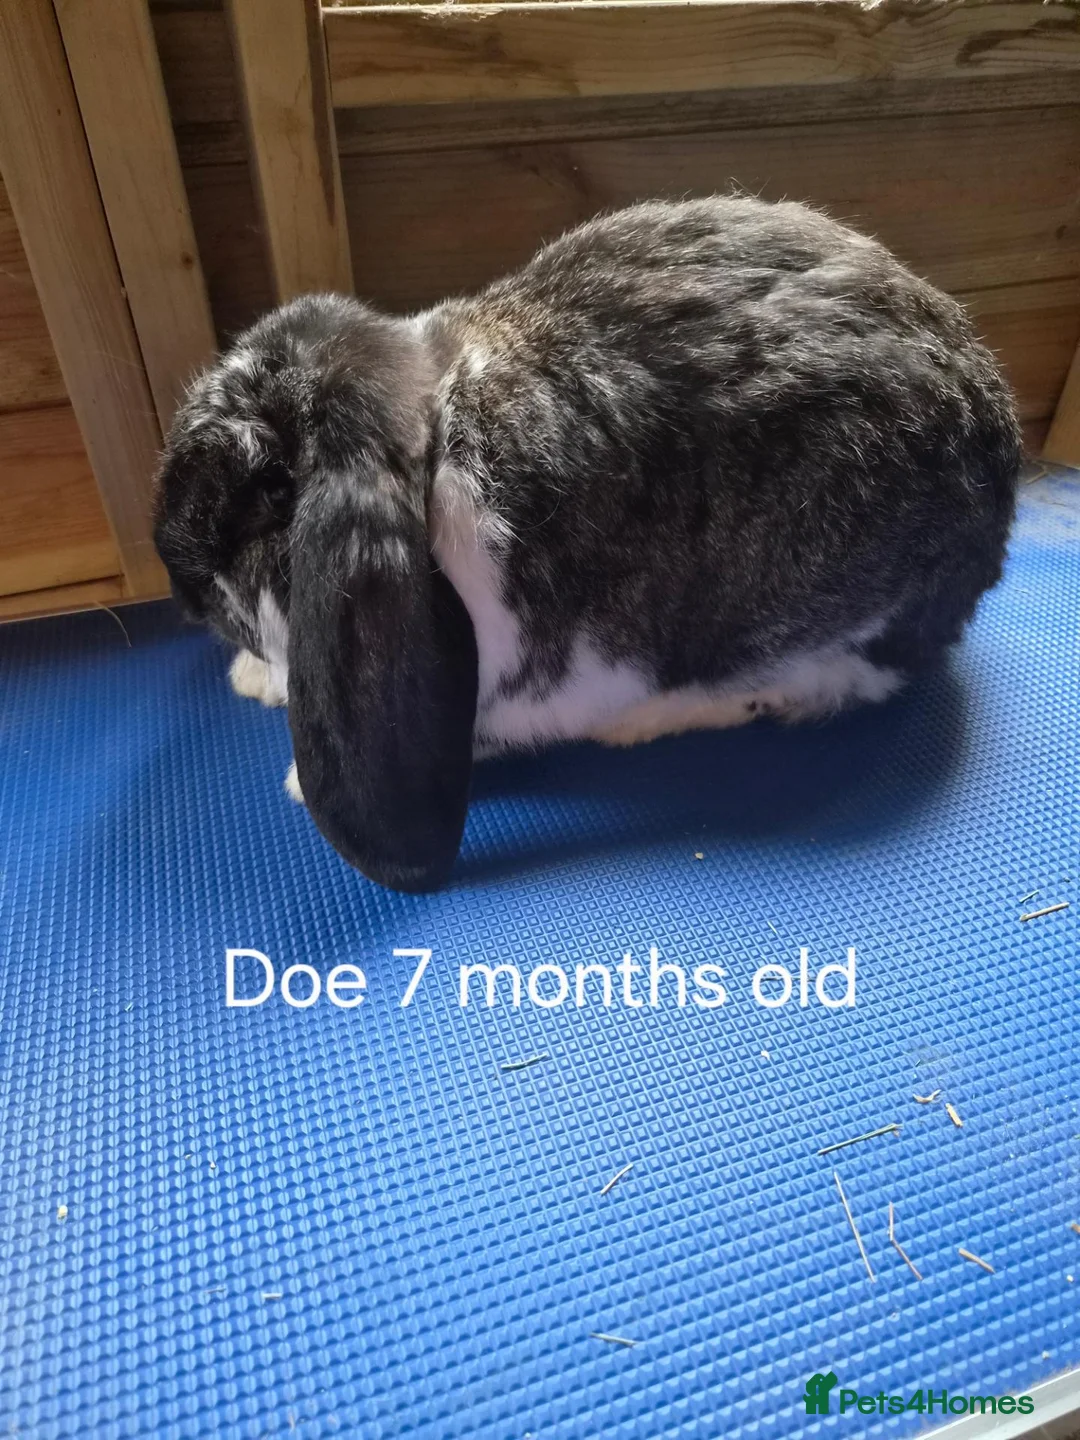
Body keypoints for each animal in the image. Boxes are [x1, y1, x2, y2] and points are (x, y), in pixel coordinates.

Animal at [154, 195, 1020, 893]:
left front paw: (297, 774)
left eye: (269, 491)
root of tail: (995, 437)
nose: (171, 562)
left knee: (838, 684)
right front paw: (256, 677)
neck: (436, 434)